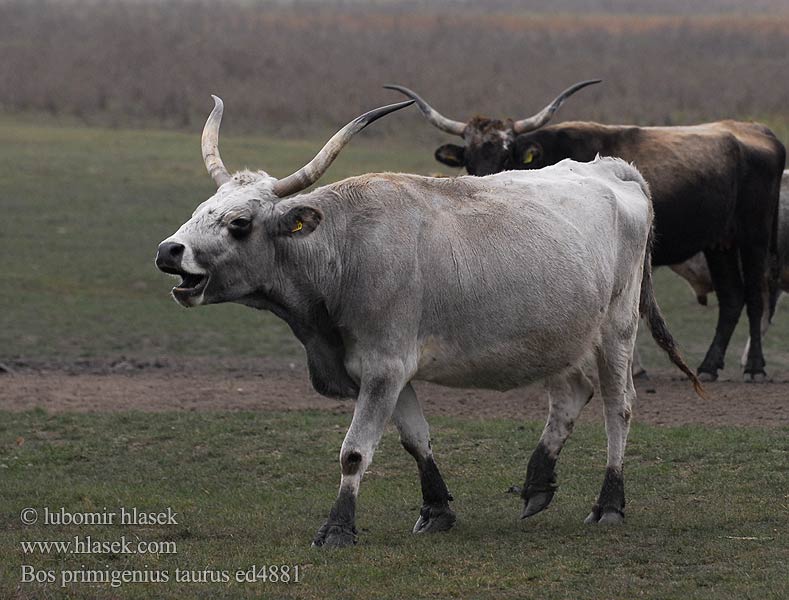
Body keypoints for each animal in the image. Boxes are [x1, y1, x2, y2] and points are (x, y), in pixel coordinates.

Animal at [157, 96, 700, 548]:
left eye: (239, 223)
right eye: (201, 210)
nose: (169, 251)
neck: (343, 248)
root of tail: (614, 169)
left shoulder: (385, 367)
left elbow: (355, 452)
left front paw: (338, 528)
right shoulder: (381, 371)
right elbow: (415, 439)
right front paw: (437, 509)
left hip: (617, 328)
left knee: (618, 407)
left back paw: (609, 504)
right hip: (561, 334)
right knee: (570, 395)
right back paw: (536, 484)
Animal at [390, 82, 784, 382]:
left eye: (506, 154)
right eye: (469, 160)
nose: (486, 185)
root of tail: (761, 132)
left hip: (753, 236)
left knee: (755, 295)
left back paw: (754, 367)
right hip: (720, 243)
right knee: (731, 298)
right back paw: (709, 366)